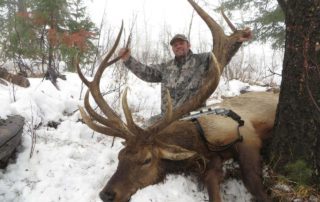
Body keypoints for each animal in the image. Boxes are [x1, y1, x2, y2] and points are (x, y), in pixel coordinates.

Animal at [76, 0, 276, 202]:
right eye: (120, 156)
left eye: (146, 160)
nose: (106, 194)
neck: (199, 140)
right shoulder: (210, 163)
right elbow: (212, 182)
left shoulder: (247, 136)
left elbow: (252, 182)